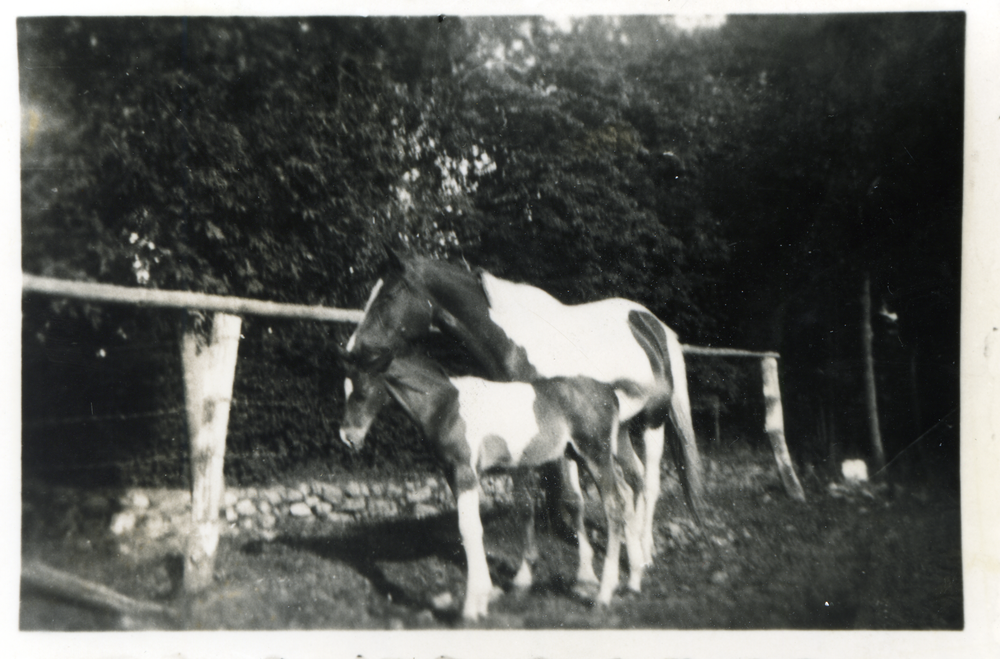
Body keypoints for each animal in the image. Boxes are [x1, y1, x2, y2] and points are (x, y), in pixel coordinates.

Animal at [340, 253, 708, 584]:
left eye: (387, 296)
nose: (352, 350)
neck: (514, 343)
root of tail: (651, 324)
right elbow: (527, 502)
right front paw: (525, 573)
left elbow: (572, 500)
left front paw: (584, 574)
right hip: (617, 432)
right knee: (634, 479)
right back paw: (635, 552)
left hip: (652, 420)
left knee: (651, 481)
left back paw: (644, 553)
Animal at [342, 354, 640, 620]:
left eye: (361, 393)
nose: (347, 438)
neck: (446, 405)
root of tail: (609, 391)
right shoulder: (452, 474)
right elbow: (472, 528)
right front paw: (483, 599)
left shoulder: (465, 473)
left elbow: (469, 529)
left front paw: (472, 607)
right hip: (584, 456)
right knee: (626, 494)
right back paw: (633, 579)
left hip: (595, 455)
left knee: (614, 505)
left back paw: (604, 595)